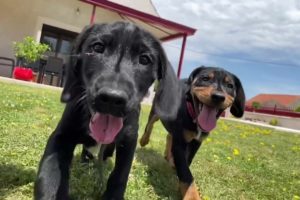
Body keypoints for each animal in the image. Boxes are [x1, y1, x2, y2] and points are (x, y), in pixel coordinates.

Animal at [34, 21, 179, 200]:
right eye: (97, 47)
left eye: (144, 59)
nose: (112, 98)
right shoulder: (61, 136)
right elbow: (50, 175)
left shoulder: (129, 140)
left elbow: (119, 175)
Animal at [139, 66, 245, 199]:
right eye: (205, 78)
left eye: (230, 85)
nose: (218, 96)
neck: (194, 115)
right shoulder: (180, 143)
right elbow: (186, 173)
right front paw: (192, 195)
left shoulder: (196, 142)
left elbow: (187, 162)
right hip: (157, 110)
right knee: (149, 125)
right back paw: (144, 140)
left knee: (169, 136)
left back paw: (169, 157)